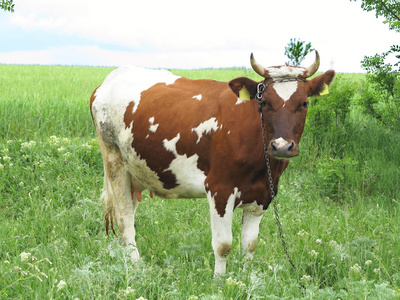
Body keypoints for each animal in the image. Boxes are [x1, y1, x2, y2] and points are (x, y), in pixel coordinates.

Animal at [90, 50, 334, 276]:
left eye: (304, 103)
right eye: (264, 102)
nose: (282, 146)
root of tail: (108, 81)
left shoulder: (263, 194)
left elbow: (250, 244)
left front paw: (246, 278)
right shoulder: (220, 189)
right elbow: (223, 245)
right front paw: (219, 281)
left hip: (136, 174)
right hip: (115, 164)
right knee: (125, 219)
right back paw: (135, 265)